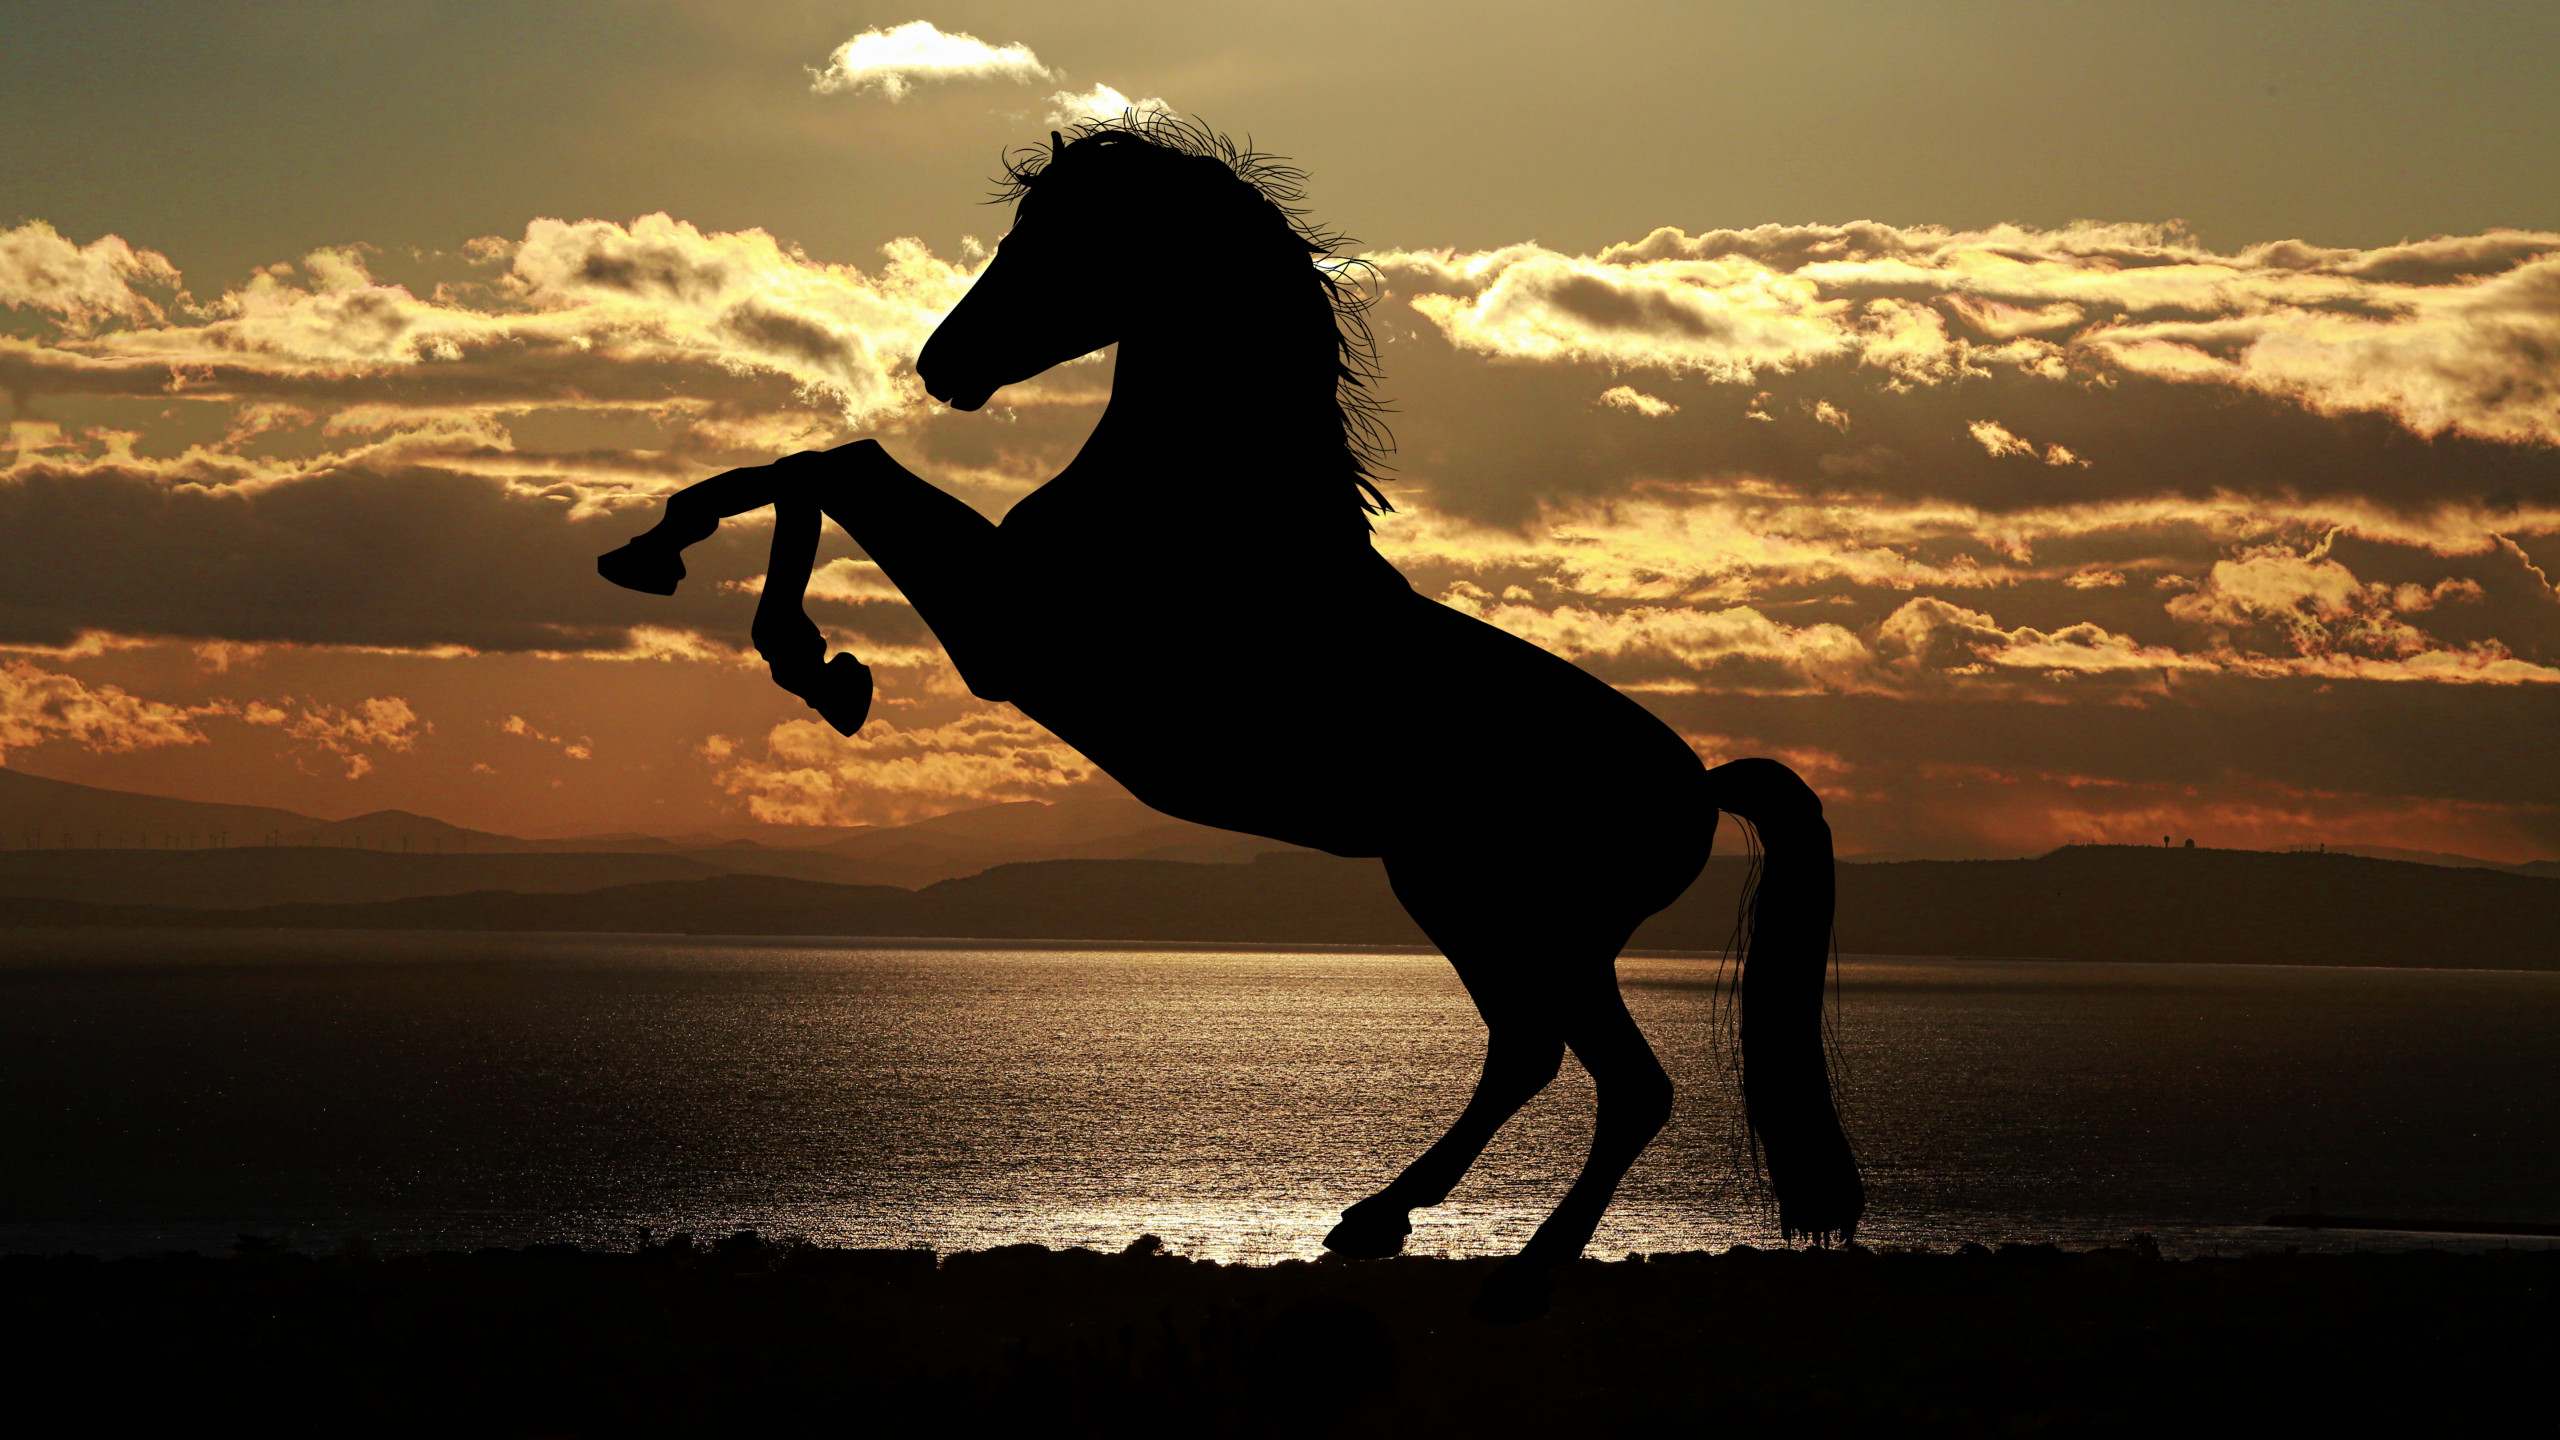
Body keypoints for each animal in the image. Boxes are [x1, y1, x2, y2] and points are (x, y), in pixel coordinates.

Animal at [596, 115, 1861, 1321]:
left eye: (1061, 238)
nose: (942, 364)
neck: (1204, 505)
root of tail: (1698, 784)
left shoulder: (1007, 633)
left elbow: (835, 465)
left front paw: (803, 655)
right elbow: (813, 462)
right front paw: (671, 562)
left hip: (1532, 920)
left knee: (1622, 1084)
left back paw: (1515, 1276)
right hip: (1462, 901)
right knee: (1526, 1053)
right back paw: (1375, 1220)